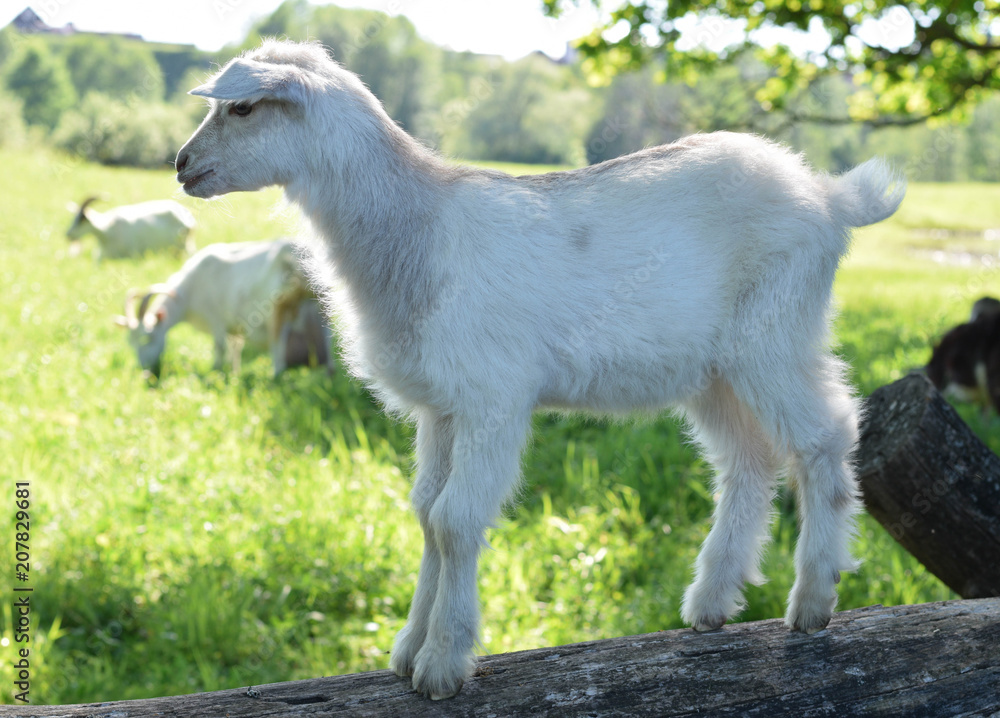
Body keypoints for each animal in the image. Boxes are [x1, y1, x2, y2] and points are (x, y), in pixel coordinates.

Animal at [66, 197, 196, 259]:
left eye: (82, 220)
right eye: (74, 218)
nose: (68, 234)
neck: (107, 232)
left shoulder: (135, 255)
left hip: (184, 246)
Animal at [114, 239, 329, 378]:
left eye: (148, 337)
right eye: (131, 343)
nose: (145, 369)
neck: (189, 291)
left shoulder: (215, 318)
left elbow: (219, 347)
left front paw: (215, 371)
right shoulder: (234, 325)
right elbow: (235, 348)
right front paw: (235, 373)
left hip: (279, 306)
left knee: (278, 342)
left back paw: (276, 375)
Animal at [174, 40, 906, 699]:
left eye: (242, 107)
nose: (181, 165)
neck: (415, 234)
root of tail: (829, 195)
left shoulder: (492, 398)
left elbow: (455, 521)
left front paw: (442, 663)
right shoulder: (442, 407)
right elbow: (426, 514)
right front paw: (408, 651)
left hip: (777, 333)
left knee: (826, 435)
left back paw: (813, 599)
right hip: (713, 369)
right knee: (749, 460)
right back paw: (711, 602)